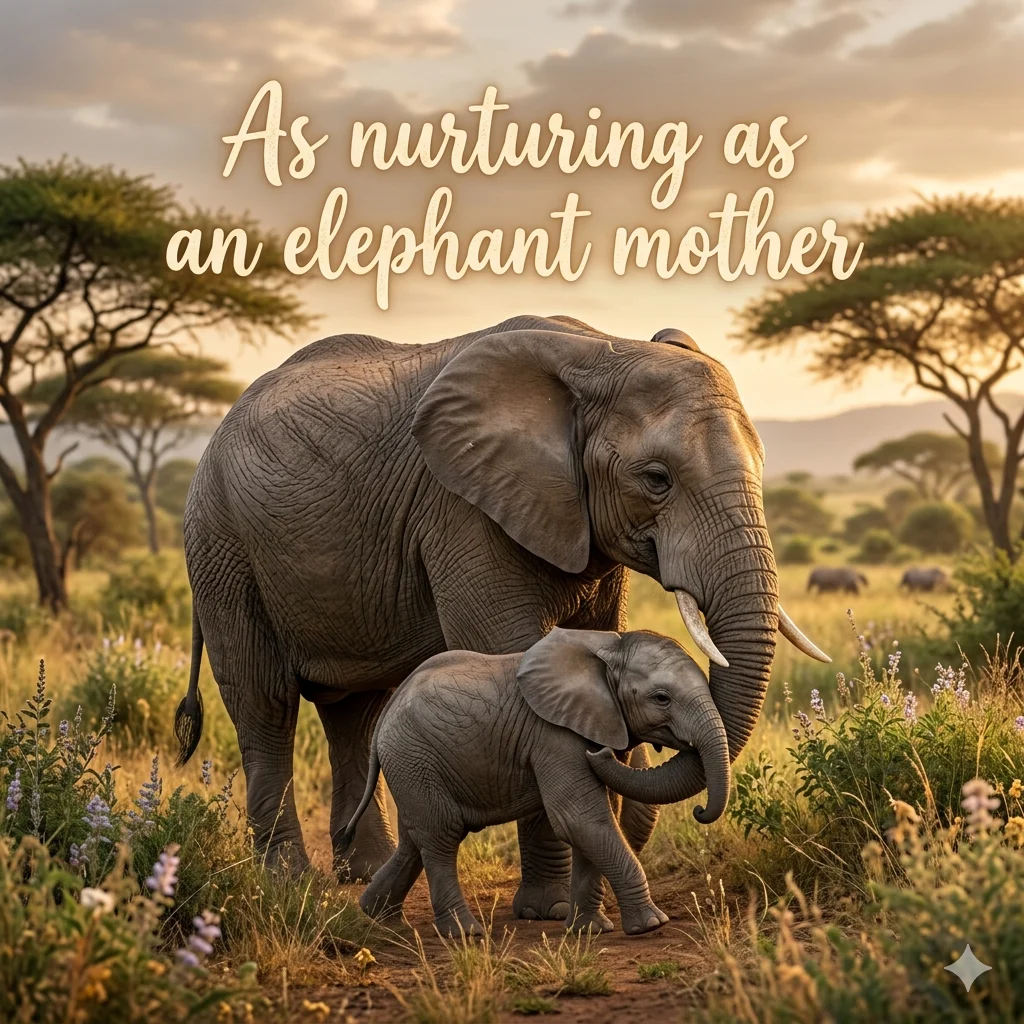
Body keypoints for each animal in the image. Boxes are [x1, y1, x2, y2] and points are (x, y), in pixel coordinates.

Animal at [344, 627, 730, 938]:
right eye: (661, 698)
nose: (698, 811)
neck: (609, 647)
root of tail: (385, 717)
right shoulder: (554, 737)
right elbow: (580, 819)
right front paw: (651, 925)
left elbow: (596, 820)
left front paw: (589, 931)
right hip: (413, 755)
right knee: (441, 835)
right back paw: (465, 934)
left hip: (412, 766)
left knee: (416, 839)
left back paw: (378, 917)